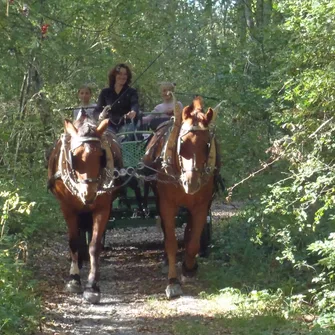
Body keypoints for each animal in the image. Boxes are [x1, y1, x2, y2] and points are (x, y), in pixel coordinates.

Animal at [48, 116, 119, 304]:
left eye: (101, 156)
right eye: (75, 156)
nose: (89, 193)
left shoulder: (103, 208)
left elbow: (94, 245)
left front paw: (92, 286)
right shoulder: (67, 208)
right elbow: (74, 241)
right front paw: (74, 278)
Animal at [143, 96, 219, 300]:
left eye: (207, 145)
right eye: (182, 143)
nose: (191, 183)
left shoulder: (201, 205)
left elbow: (193, 242)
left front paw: (188, 268)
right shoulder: (166, 204)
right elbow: (171, 242)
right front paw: (172, 282)